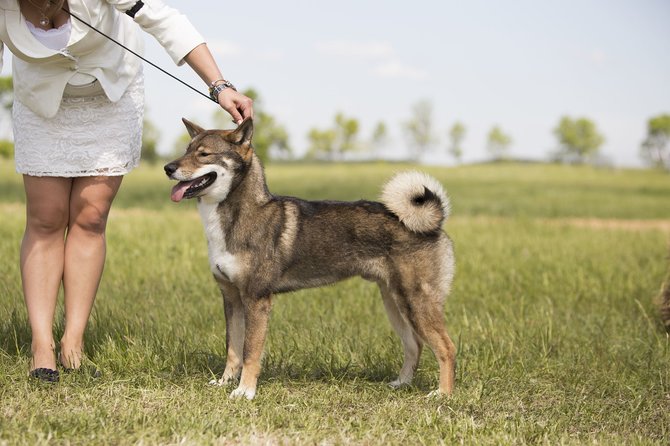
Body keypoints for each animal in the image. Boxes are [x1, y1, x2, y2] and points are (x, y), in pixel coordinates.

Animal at [164, 116, 456, 398]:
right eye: (186, 150)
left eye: (204, 154)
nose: (168, 168)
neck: (238, 216)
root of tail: (433, 224)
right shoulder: (231, 297)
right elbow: (233, 349)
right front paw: (225, 383)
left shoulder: (256, 299)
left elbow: (250, 352)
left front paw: (245, 391)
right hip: (394, 302)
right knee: (414, 345)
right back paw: (402, 384)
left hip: (415, 302)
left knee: (446, 347)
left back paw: (442, 394)